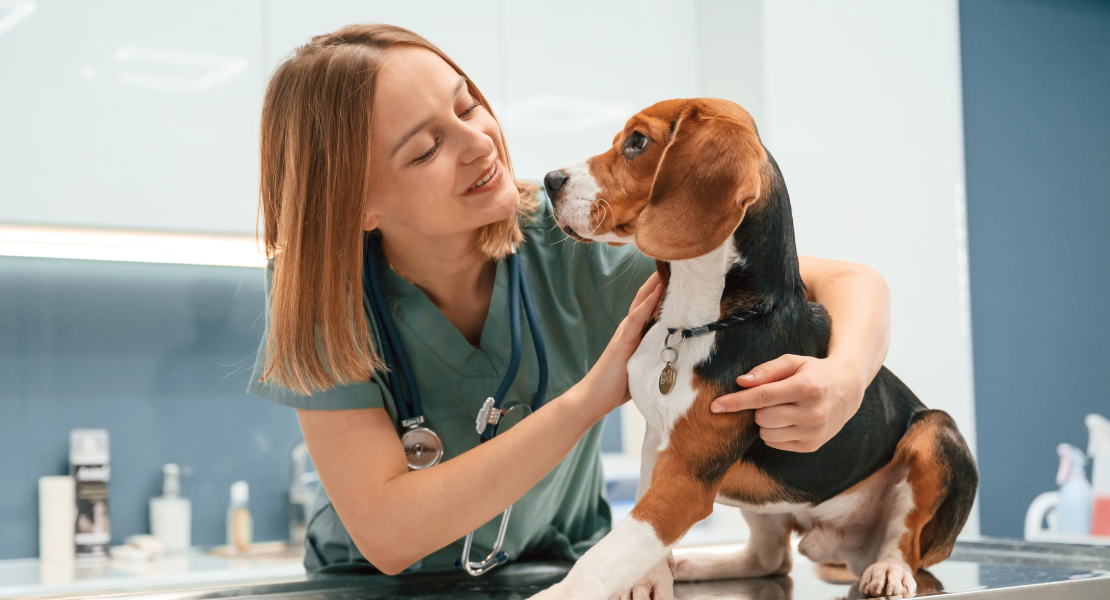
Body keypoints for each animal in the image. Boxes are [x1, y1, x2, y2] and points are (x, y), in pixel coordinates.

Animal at [537, 95, 981, 594]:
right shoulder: (656, 443)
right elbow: (634, 530)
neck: (691, 325)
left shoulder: (686, 477)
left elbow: (609, 550)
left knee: (905, 541)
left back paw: (888, 570)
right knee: (769, 559)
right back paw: (696, 563)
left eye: (636, 142)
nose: (549, 181)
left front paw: (563, 592)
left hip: (937, 436)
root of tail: (840, 543)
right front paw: (647, 579)